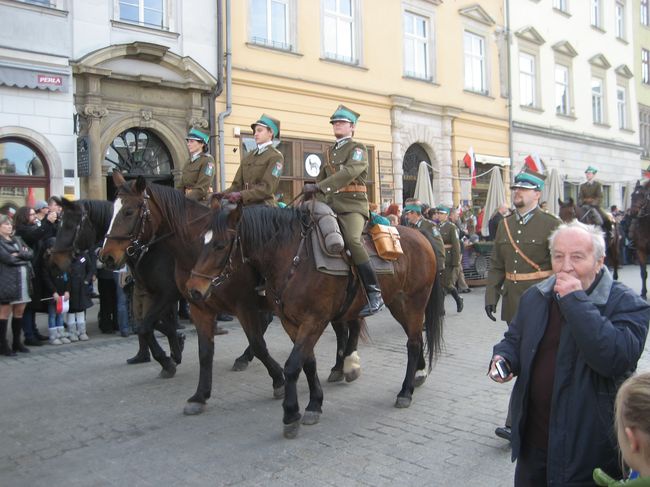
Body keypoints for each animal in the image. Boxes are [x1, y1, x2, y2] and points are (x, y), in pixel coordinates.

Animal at [185, 204, 442, 440]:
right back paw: (416, 374)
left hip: (413, 302)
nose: (193, 290)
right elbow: (307, 362)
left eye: (220, 245)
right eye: (201, 241)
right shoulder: (291, 322)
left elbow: (292, 365)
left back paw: (405, 391)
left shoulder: (314, 320)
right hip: (396, 305)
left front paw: (291, 414)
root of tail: (420, 235)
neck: (293, 258)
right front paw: (314, 404)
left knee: (412, 343)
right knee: (413, 338)